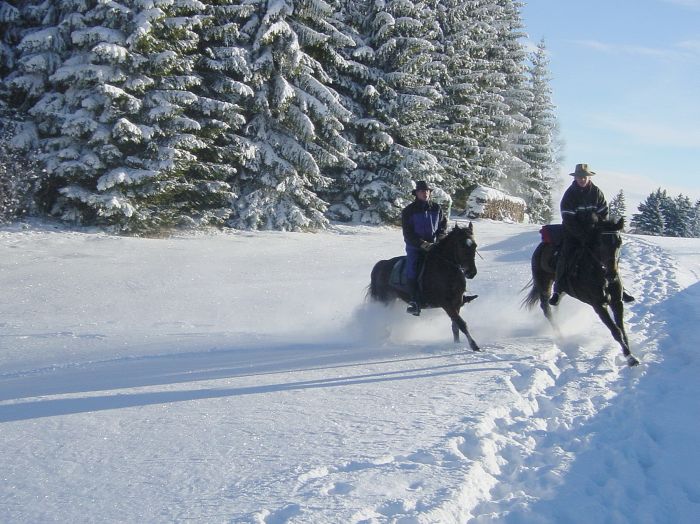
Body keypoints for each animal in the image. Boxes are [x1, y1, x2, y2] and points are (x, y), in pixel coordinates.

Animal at [366, 220, 482, 348]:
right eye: (461, 246)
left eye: (475, 245)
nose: (471, 272)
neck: (445, 269)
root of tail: (380, 265)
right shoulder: (446, 304)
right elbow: (461, 323)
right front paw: (474, 345)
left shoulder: (457, 302)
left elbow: (455, 326)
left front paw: (457, 343)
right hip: (384, 300)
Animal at [520, 217, 640, 364]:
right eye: (600, 242)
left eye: (619, 242)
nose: (612, 274)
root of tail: (540, 247)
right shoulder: (598, 305)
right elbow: (615, 330)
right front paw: (630, 359)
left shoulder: (617, 302)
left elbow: (622, 329)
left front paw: (630, 355)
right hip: (544, 283)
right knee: (546, 308)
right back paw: (560, 335)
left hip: (563, 290)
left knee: (556, 301)